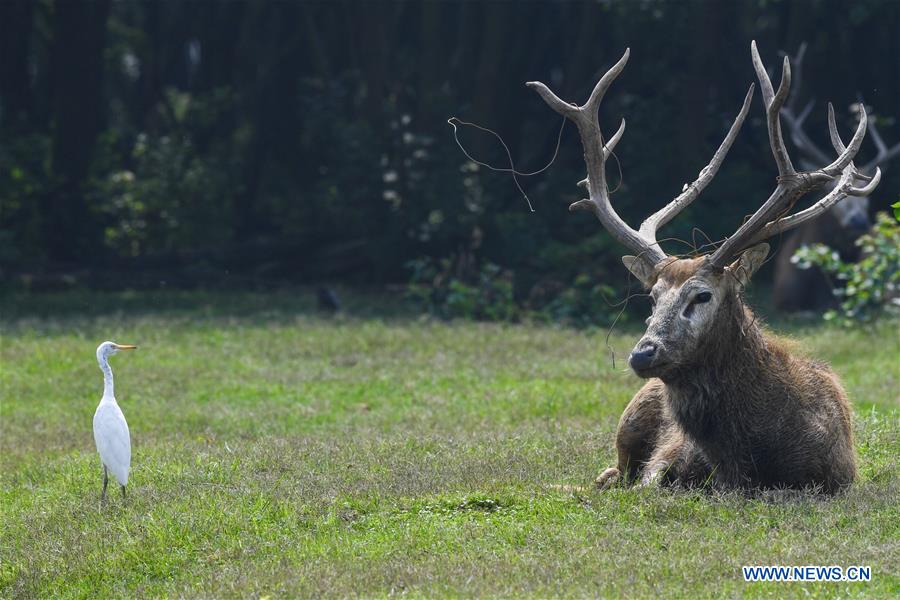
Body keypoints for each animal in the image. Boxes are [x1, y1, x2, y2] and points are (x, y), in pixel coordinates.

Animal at [520, 41, 880, 492]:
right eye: (652, 298)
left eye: (702, 296)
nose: (642, 354)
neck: (747, 461)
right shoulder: (665, 458)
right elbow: (647, 483)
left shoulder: (836, 477)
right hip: (631, 417)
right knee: (612, 472)